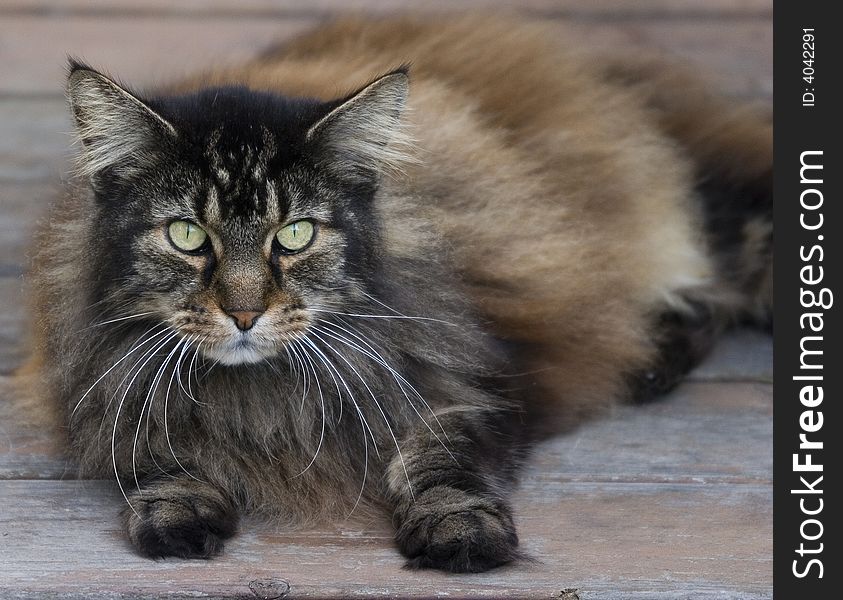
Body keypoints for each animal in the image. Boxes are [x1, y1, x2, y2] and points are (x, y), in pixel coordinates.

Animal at [21, 16, 772, 576]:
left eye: (294, 234)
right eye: (186, 235)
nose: (243, 313)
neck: (261, 396)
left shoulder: (470, 378)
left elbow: (443, 463)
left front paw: (460, 534)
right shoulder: (109, 388)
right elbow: (161, 459)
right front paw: (176, 515)